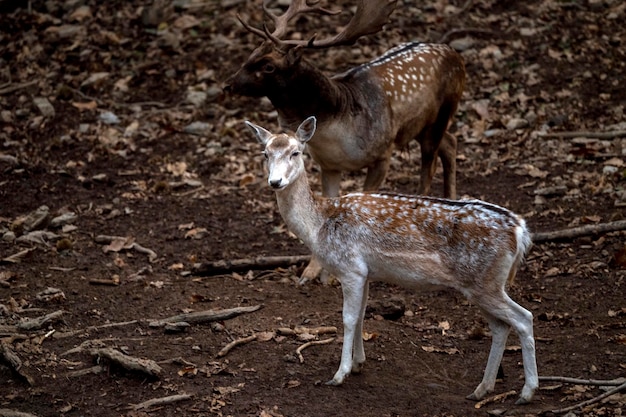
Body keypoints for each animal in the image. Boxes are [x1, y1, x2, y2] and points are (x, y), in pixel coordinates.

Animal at [224, 0, 464, 282]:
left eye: (268, 66)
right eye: (250, 55)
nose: (228, 85)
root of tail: (454, 53)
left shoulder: (383, 153)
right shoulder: (328, 165)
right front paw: (312, 271)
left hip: (443, 112)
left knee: (430, 163)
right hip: (422, 126)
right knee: (451, 142)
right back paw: (453, 200)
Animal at [246, 114, 540, 404]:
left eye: (296, 152)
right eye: (265, 153)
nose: (275, 182)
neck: (319, 226)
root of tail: (520, 231)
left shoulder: (350, 268)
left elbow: (348, 318)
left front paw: (340, 374)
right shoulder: (365, 273)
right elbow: (362, 315)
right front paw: (358, 363)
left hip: (485, 282)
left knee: (524, 318)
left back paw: (527, 391)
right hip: (483, 284)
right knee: (501, 326)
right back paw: (482, 389)